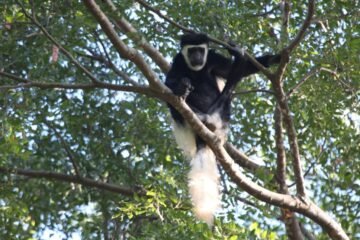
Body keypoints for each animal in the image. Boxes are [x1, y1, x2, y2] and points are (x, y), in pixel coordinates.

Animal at [166, 32, 282, 226]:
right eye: (191, 51)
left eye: (200, 50)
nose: (197, 58)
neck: (196, 69)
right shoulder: (178, 61)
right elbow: (169, 83)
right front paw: (181, 86)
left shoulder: (212, 59)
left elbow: (238, 70)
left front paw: (274, 58)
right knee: (173, 103)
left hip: (223, 115)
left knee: (230, 88)